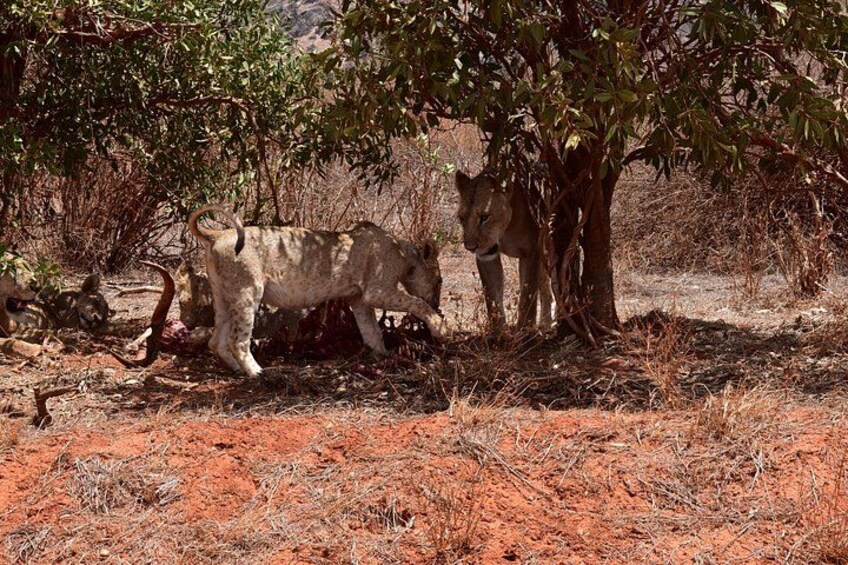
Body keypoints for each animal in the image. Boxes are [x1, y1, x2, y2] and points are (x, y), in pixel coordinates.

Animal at [188, 204, 449, 377]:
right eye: (439, 281)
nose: (438, 304)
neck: (403, 253)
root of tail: (217, 234)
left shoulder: (358, 299)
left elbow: (371, 331)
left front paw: (382, 356)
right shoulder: (377, 291)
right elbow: (416, 302)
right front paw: (440, 327)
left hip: (224, 296)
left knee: (216, 341)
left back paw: (236, 369)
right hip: (247, 291)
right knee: (238, 340)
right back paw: (258, 373)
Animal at [454, 169, 552, 330]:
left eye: (484, 217)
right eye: (462, 218)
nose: (470, 247)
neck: (505, 230)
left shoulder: (532, 251)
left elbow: (528, 295)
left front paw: (525, 329)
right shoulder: (486, 257)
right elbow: (492, 296)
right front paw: (500, 332)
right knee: (545, 287)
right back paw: (546, 323)